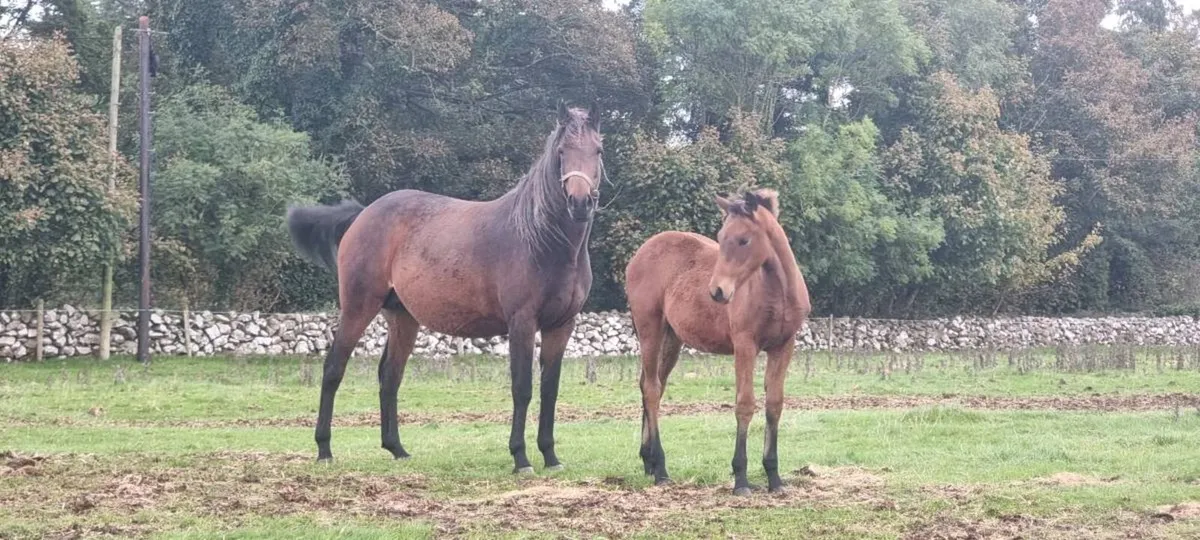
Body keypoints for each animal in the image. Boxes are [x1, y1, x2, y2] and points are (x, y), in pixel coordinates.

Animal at [286, 102, 603, 473]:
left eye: (597, 151)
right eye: (562, 151)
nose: (580, 203)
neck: (542, 240)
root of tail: (363, 214)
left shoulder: (561, 326)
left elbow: (549, 390)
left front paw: (551, 456)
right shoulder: (522, 323)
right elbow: (522, 387)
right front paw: (521, 457)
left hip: (402, 317)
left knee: (390, 376)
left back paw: (397, 448)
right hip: (357, 307)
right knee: (334, 369)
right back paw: (324, 449)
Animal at [624, 189, 811, 495]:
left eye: (744, 239)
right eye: (720, 237)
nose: (718, 291)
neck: (776, 292)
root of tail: (641, 252)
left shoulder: (784, 346)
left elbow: (774, 404)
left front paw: (774, 478)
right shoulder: (745, 346)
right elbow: (745, 404)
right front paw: (741, 479)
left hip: (671, 339)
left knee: (651, 385)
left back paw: (648, 461)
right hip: (650, 328)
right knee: (651, 389)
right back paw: (661, 469)